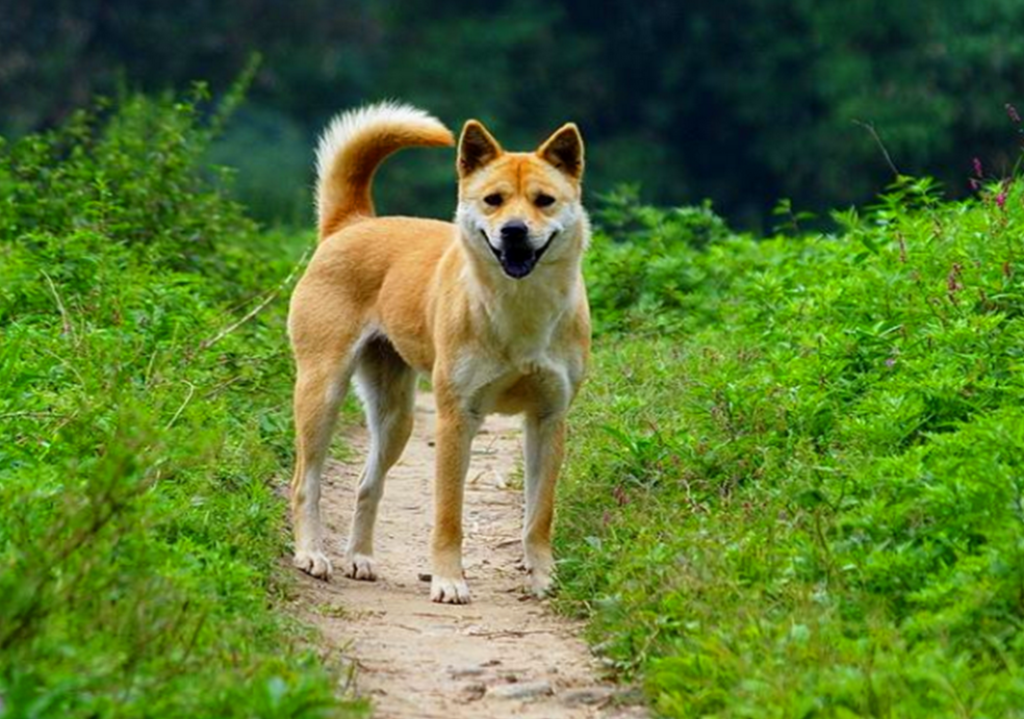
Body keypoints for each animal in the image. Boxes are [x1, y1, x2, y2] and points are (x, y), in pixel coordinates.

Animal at [288, 104, 593, 606]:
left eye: (544, 200)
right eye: (493, 200)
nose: (514, 231)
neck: (519, 309)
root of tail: (353, 223)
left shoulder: (549, 419)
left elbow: (539, 515)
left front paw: (543, 578)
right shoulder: (457, 419)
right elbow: (448, 514)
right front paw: (449, 580)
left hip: (396, 418)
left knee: (367, 485)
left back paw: (360, 558)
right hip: (322, 391)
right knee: (304, 483)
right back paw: (311, 554)